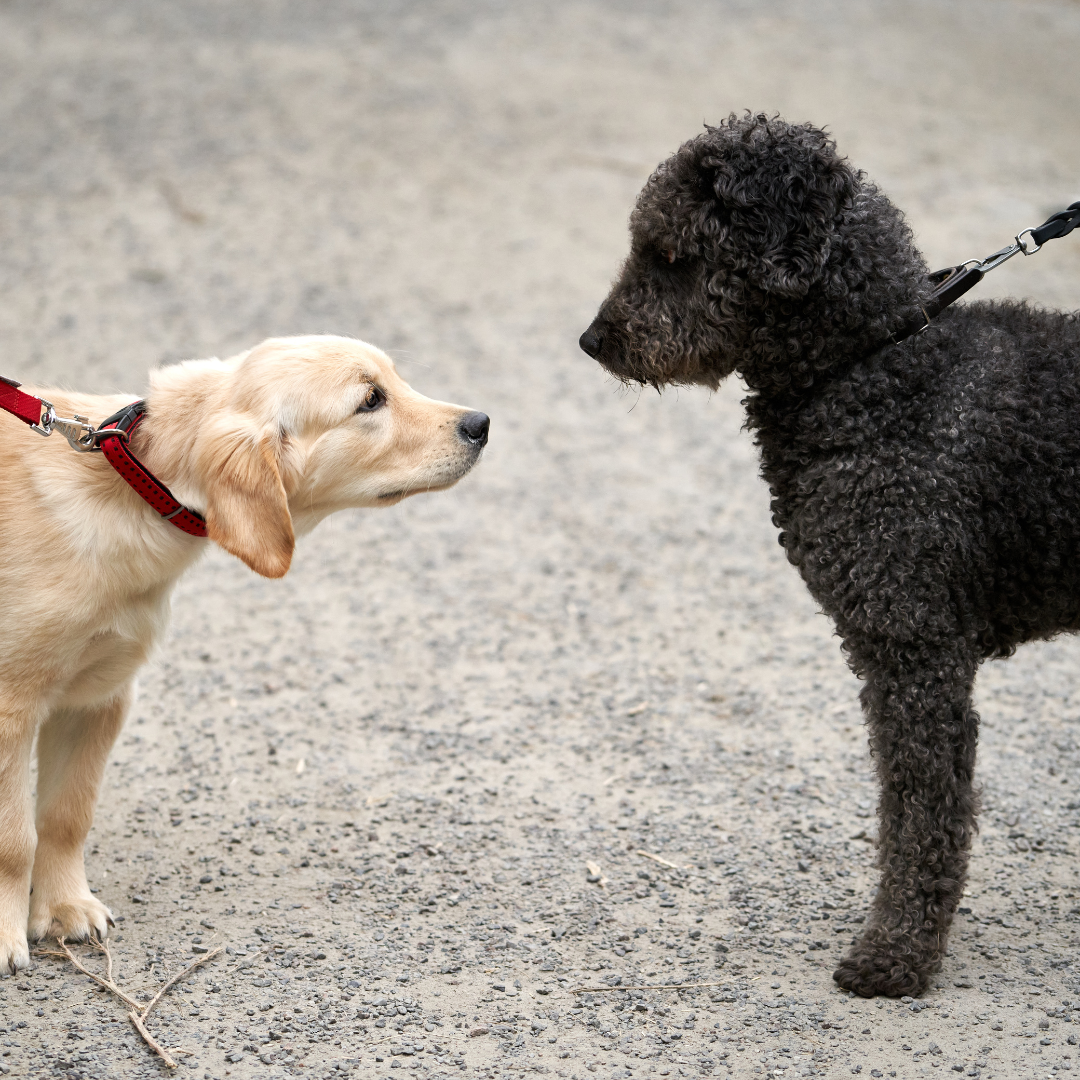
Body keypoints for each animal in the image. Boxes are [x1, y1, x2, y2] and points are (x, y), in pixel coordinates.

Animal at [0, 334, 486, 972]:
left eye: (394, 382)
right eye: (370, 401)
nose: (481, 423)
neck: (132, 485)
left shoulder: (100, 695)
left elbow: (65, 815)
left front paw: (63, 909)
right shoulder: (10, 708)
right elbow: (12, 838)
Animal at [578, 113, 1080, 997]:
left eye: (670, 254)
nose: (591, 340)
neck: (876, 367)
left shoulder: (915, 650)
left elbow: (923, 814)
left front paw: (897, 954)